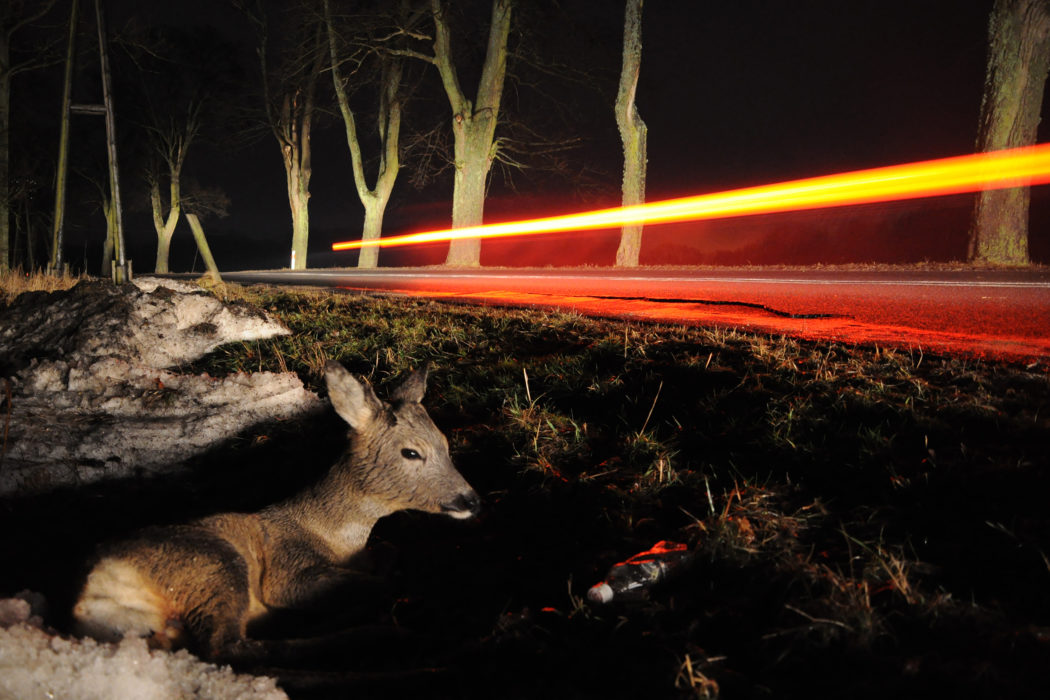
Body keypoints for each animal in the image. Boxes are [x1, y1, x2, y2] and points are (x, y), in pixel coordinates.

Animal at [74, 358, 480, 659]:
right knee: (226, 648)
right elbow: (379, 581)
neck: (332, 536)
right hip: (213, 565)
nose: (471, 500)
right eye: (411, 452)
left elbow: (389, 551)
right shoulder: (287, 571)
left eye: (445, 443)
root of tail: (92, 591)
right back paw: (375, 635)